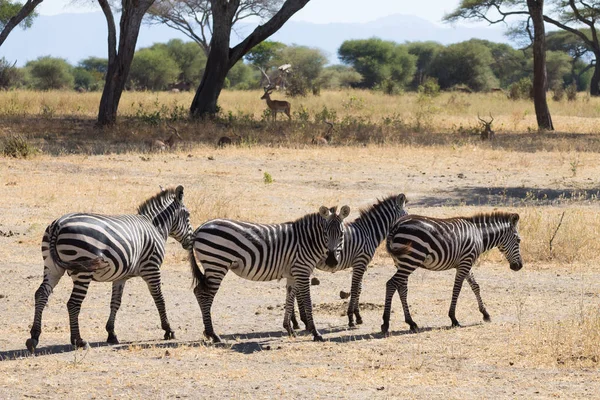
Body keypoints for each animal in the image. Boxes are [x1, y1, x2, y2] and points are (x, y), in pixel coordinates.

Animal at [25, 186, 193, 352]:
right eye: (188, 215)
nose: (191, 242)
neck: (155, 227)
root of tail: (58, 224)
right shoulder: (152, 268)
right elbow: (159, 298)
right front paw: (168, 330)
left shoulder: (120, 276)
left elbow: (115, 302)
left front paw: (111, 333)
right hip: (82, 270)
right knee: (73, 303)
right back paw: (79, 341)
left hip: (51, 267)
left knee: (41, 294)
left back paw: (34, 337)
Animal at [190, 205, 350, 342]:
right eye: (325, 233)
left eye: (341, 234)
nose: (331, 261)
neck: (307, 241)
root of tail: (202, 226)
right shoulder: (302, 271)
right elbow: (308, 301)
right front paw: (315, 332)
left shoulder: (293, 274)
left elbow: (289, 297)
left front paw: (289, 329)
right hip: (217, 264)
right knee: (205, 295)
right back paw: (213, 334)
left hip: (213, 265)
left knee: (198, 291)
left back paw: (208, 333)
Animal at [290, 193, 408, 328]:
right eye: (406, 215)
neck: (369, 232)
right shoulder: (360, 262)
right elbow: (355, 288)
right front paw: (351, 317)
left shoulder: (362, 264)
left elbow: (359, 288)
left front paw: (357, 316)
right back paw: (298, 321)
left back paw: (296, 321)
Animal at [382, 211, 524, 336]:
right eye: (518, 240)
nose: (519, 266)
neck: (478, 235)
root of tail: (396, 225)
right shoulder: (465, 262)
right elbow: (457, 289)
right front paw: (453, 318)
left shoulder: (466, 263)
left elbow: (475, 286)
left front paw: (485, 314)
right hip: (411, 259)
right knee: (391, 284)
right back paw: (385, 323)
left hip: (402, 262)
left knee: (402, 288)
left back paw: (411, 322)